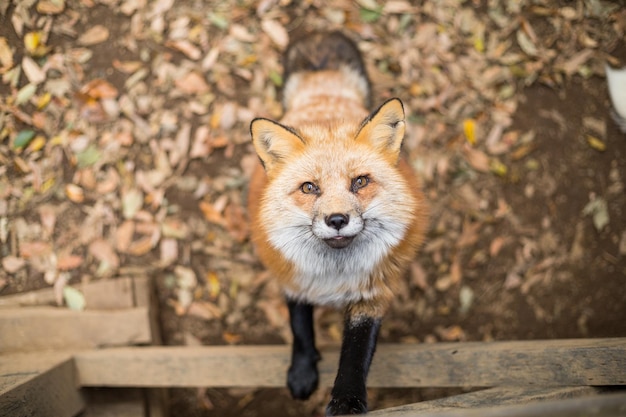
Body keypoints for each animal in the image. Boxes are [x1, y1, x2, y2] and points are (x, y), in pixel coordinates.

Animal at [246, 31, 426, 412]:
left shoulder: (372, 294)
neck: (334, 276)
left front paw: (346, 402)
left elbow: (355, 355)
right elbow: (300, 330)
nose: (338, 219)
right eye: (309, 188)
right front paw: (302, 373)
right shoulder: (293, 278)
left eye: (360, 182)